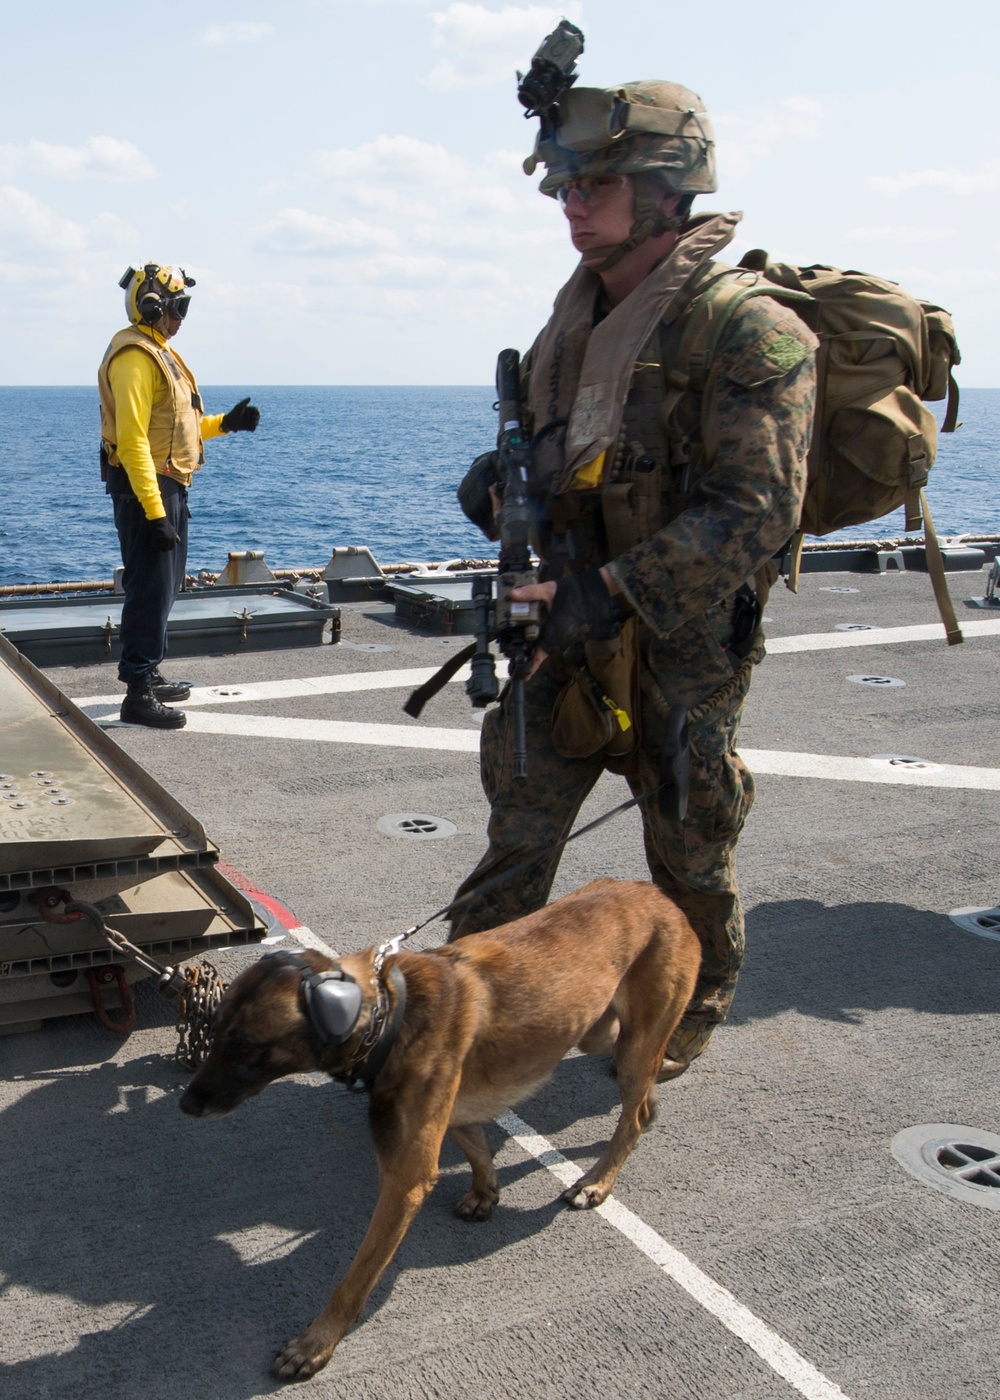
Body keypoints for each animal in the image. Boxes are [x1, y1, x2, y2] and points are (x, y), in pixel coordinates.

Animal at [179, 879, 697, 1383]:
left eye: (247, 1048)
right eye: (215, 1029)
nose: (186, 1104)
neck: (390, 1013)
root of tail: (658, 896)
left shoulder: (404, 1182)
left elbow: (355, 1278)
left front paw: (317, 1342)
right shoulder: (451, 1110)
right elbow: (476, 1145)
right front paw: (485, 1192)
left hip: (633, 1040)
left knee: (631, 1116)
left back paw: (597, 1180)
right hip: (598, 1031)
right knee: (638, 1093)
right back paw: (653, 1098)